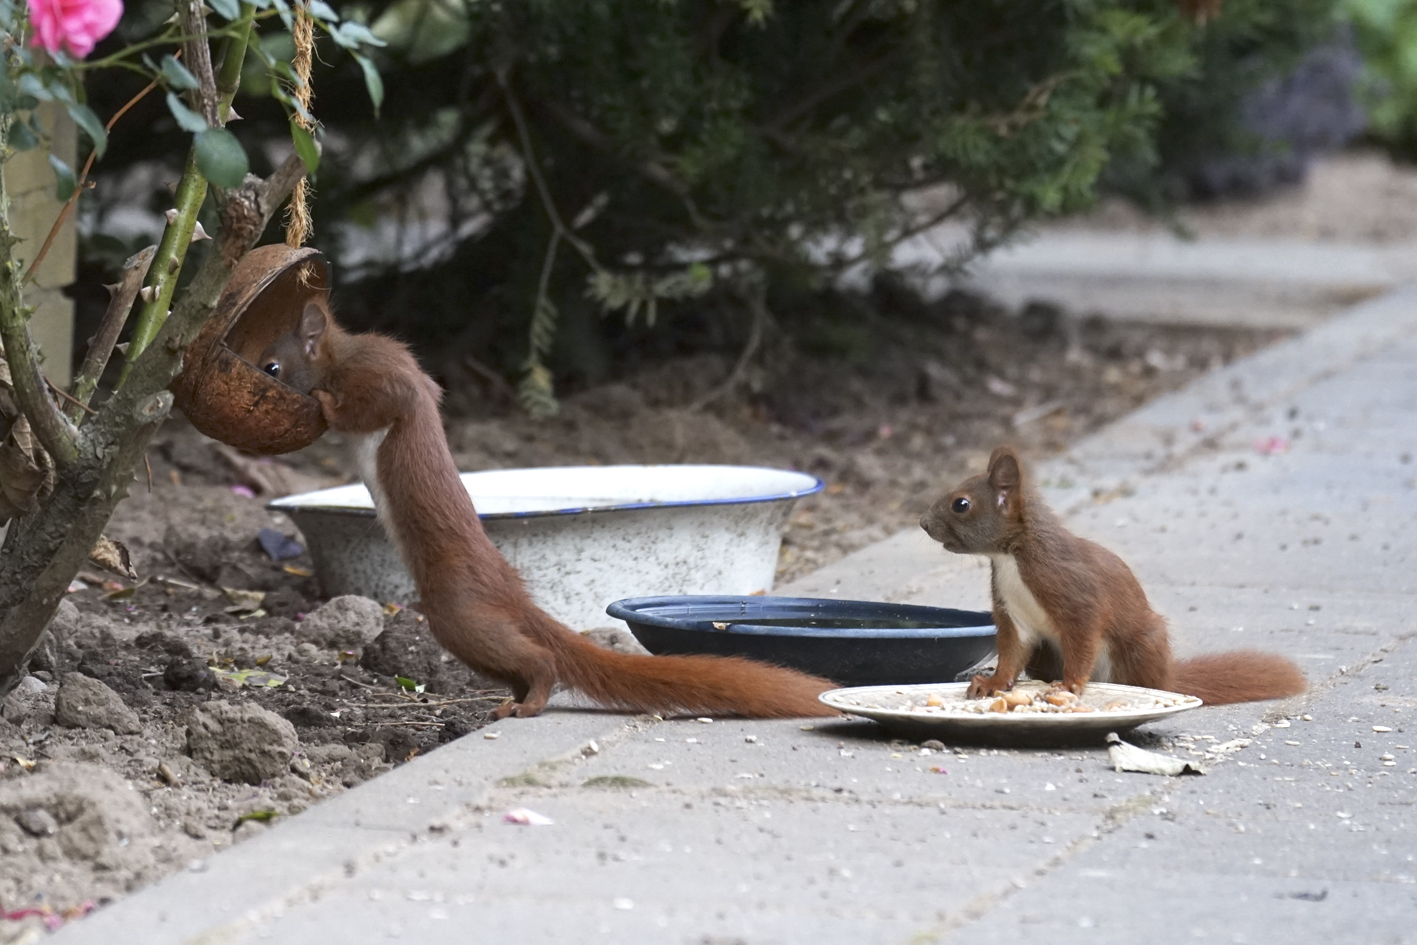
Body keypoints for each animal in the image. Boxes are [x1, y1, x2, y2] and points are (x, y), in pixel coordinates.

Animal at [256, 304, 833, 725]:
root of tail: (509, 587)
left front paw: (324, 401)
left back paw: (526, 704)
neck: (344, 356)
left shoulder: (384, 376)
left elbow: (379, 402)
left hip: (456, 612)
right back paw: (509, 701)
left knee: (541, 660)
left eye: (271, 365)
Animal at [918, 447, 1303, 705]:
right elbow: (1012, 652)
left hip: (1139, 647)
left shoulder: (1073, 592)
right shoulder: (1012, 611)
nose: (923, 523)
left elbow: (1083, 636)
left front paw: (1069, 686)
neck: (1011, 558)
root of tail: (1169, 677)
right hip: (1045, 656)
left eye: (961, 504)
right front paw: (993, 684)